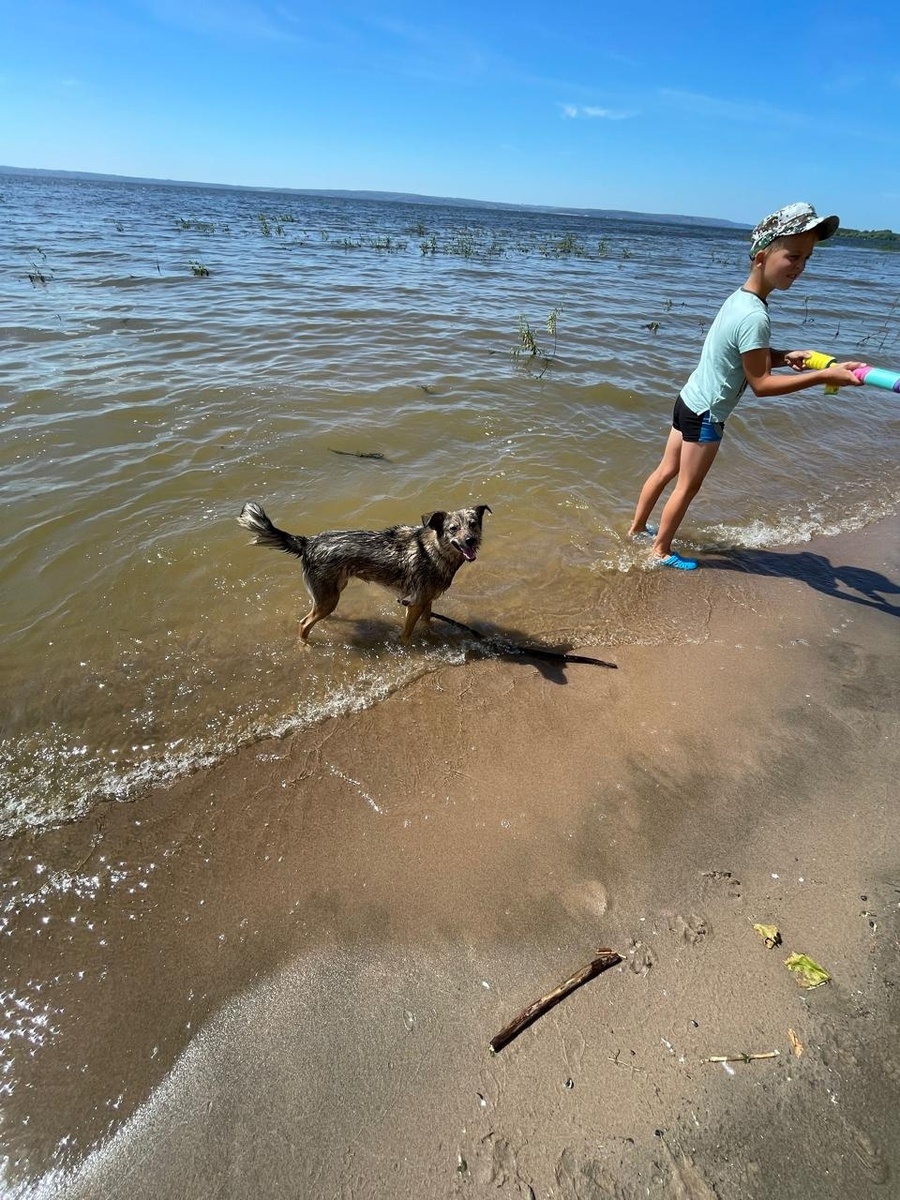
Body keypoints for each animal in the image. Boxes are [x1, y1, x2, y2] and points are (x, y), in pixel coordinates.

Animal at [237, 499, 494, 643]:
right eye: (453, 529)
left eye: (473, 524)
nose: (471, 541)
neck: (434, 550)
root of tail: (308, 542)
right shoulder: (414, 603)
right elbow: (406, 635)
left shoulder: (426, 601)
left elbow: (428, 623)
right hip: (329, 598)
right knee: (303, 624)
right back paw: (305, 647)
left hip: (329, 594)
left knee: (312, 613)